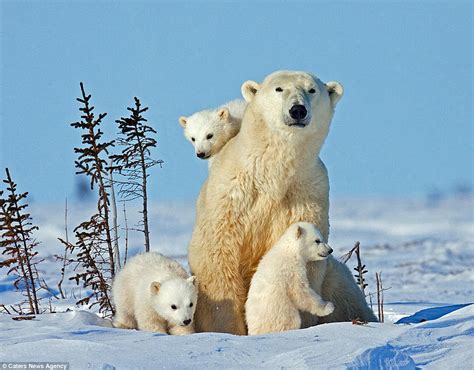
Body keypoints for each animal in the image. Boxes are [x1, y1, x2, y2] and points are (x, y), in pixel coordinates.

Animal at [187, 70, 376, 336]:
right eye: (278, 89)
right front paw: (227, 328)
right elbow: (218, 255)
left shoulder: (307, 192)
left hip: (339, 282)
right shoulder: (231, 195)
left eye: (311, 90)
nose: (297, 110)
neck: (274, 172)